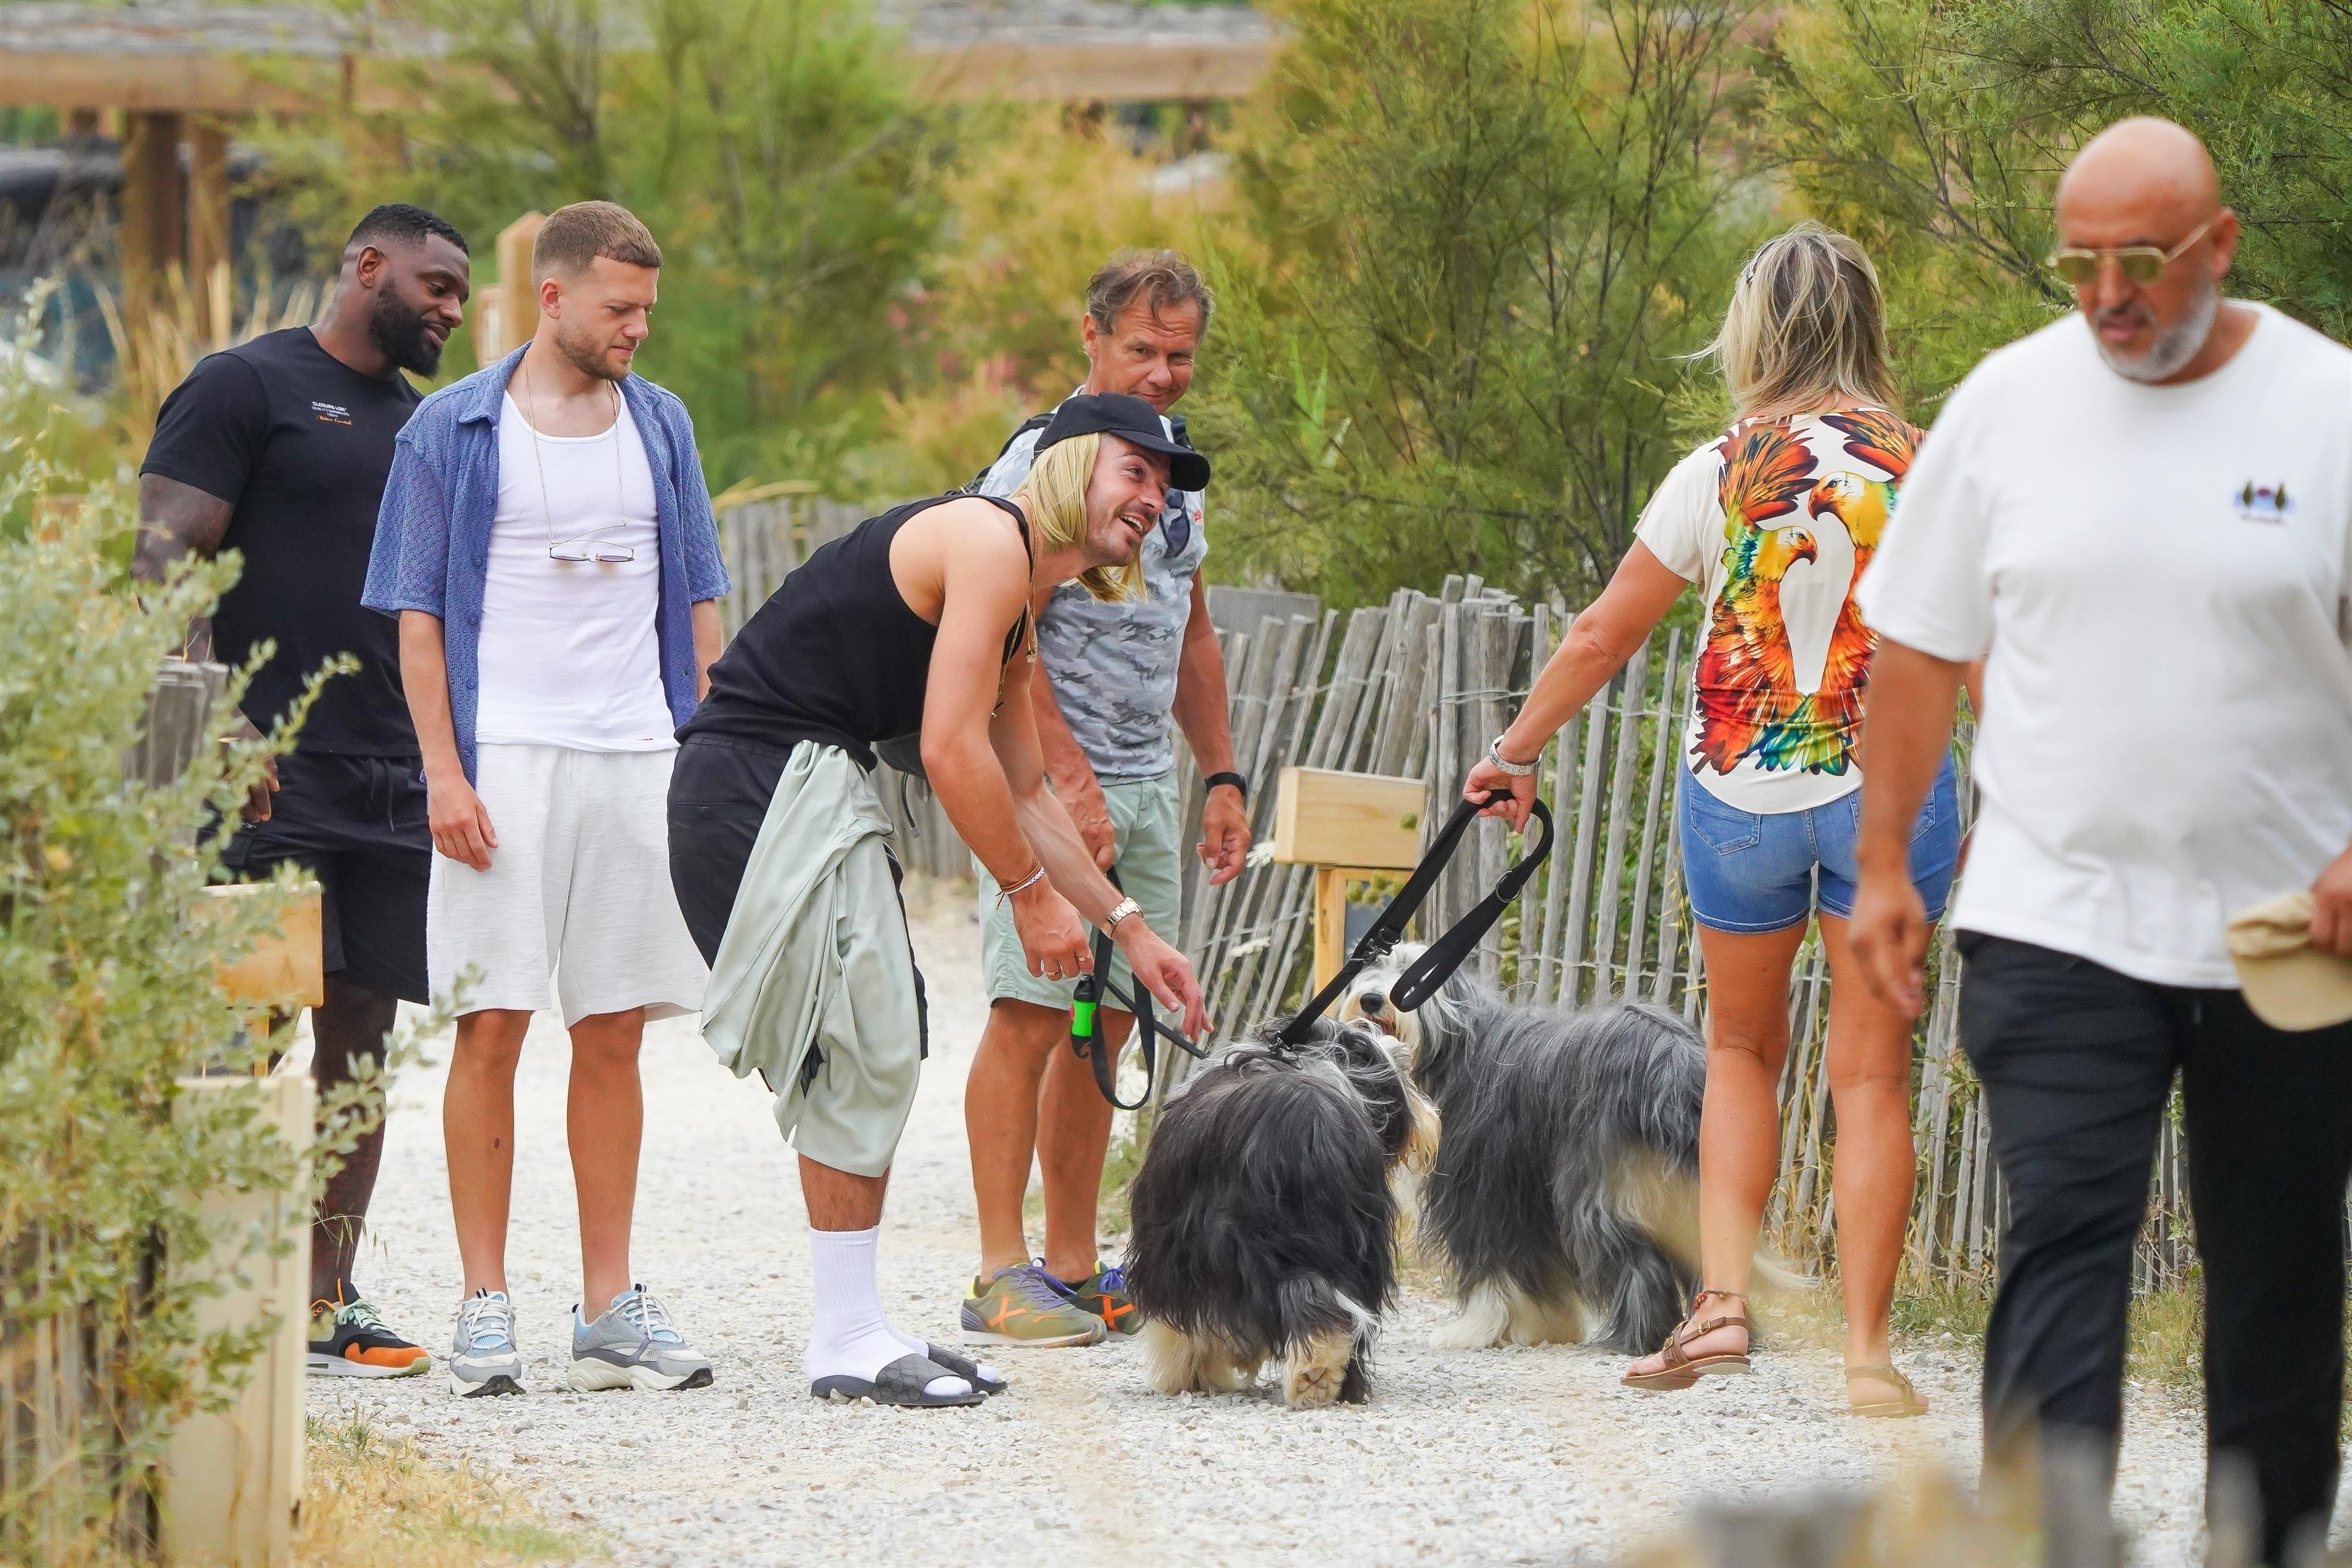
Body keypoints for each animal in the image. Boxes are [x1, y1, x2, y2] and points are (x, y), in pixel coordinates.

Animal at [1120, 1020, 1430, 1410]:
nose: (1431, 1116)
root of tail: (1313, 1128)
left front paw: (1191, 1376)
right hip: (1353, 1249)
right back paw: (1324, 1375)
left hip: (1232, 1242)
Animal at [1345, 945, 1712, 1363]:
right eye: (1373, 964)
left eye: (1415, 973)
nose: (1372, 999)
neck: (1455, 1049)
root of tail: (1669, 1060)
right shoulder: (1528, 1196)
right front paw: (1545, 1327)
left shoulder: (1482, 1191)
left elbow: (1491, 1267)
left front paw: (1473, 1331)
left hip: (1602, 1184)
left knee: (1634, 1255)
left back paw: (1640, 1337)